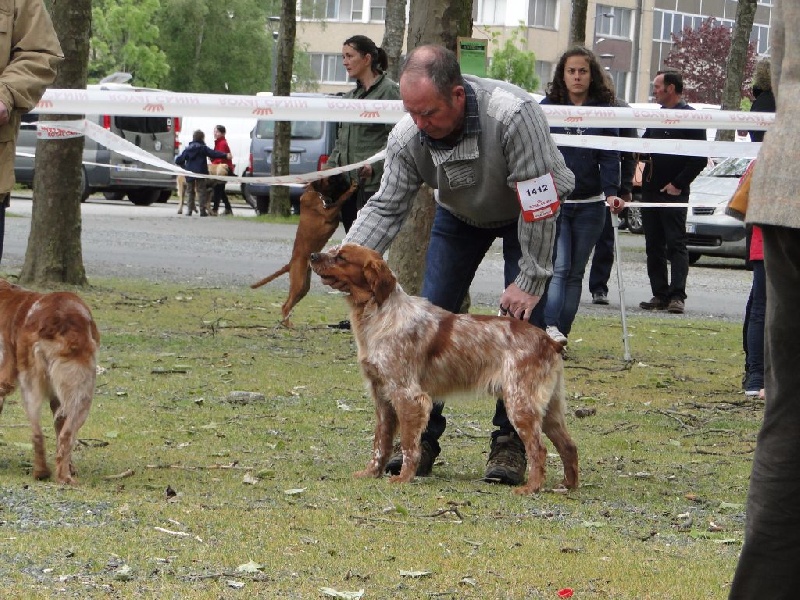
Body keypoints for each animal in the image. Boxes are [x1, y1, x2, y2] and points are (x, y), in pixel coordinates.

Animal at [0, 280, 101, 482]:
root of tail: (57, 318)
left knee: (40, 434)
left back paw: (45, 473)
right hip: (80, 396)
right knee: (62, 436)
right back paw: (59, 476)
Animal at [253, 171, 356, 326]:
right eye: (332, 178)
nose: (344, 174)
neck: (315, 193)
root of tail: (291, 263)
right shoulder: (328, 213)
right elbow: (341, 199)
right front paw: (352, 188)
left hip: (303, 287)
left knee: (289, 304)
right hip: (299, 283)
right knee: (285, 306)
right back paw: (288, 325)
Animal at [310, 241, 580, 494]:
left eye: (341, 257)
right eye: (334, 250)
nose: (312, 255)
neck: (379, 315)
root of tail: (550, 342)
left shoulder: (408, 396)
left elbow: (408, 445)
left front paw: (404, 477)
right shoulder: (382, 397)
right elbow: (380, 443)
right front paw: (371, 473)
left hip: (519, 402)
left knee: (539, 449)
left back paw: (531, 488)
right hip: (548, 409)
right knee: (569, 445)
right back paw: (568, 485)